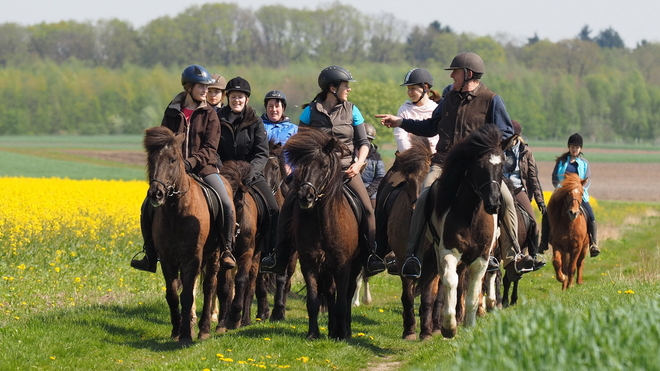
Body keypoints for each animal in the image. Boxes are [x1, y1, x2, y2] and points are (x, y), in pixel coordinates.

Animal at [142, 127, 232, 346]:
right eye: (151, 159)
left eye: (173, 159)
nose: (156, 194)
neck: (177, 212)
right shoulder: (168, 259)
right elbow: (173, 295)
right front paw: (177, 331)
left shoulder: (192, 258)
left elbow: (187, 296)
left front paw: (185, 335)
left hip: (215, 255)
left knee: (209, 287)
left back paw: (205, 329)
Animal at [284, 129, 366, 342]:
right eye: (302, 165)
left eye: (325, 166)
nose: (306, 196)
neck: (322, 223)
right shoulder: (309, 263)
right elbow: (314, 301)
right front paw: (313, 333)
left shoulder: (343, 265)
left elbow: (342, 302)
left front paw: (342, 335)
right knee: (329, 292)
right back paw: (331, 329)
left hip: (355, 264)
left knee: (346, 294)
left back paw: (344, 330)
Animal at [374, 135, 436, 342]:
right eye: (409, 180)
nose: (417, 208)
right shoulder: (404, 260)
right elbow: (407, 295)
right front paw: (409, 330)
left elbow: (429, 296)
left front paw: (427, 332)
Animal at [428, 125, 506, 340]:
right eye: (479, 166)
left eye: (502, 165)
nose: (494, 203)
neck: (470, 216)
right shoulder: (449, 252)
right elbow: (450, 281)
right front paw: (449, 326)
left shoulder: (481, 258)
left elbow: (473, 292)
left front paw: (469, 325)